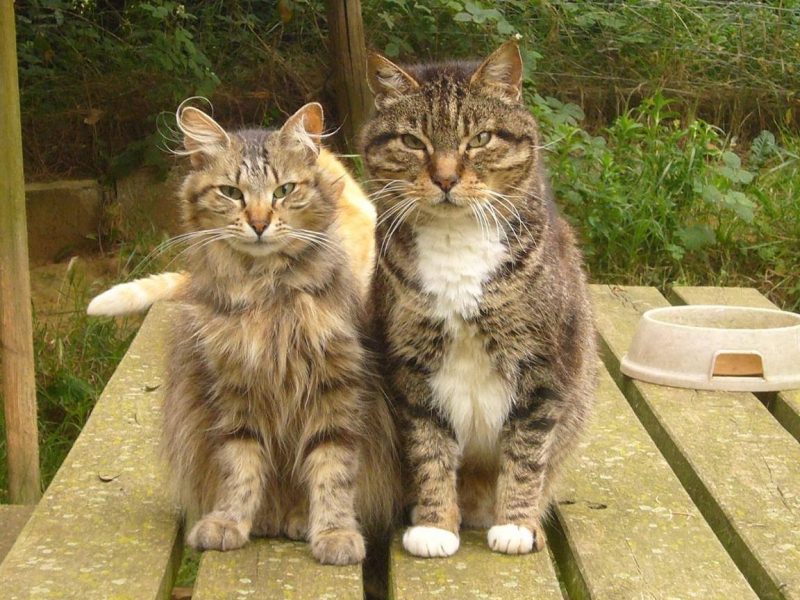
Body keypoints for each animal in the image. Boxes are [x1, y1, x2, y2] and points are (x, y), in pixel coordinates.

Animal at [94, 101, 400, 564]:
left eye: (284, 190)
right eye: (231, 192)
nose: (258, 222)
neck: (268, 297)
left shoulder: (336, 385)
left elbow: (332, 467)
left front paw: (333, 531)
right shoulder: (236, 388)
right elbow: (241, 465)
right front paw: (231, 521)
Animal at [360, 41, 596, 556]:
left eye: (481, 138)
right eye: (414, 142)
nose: (446, 178)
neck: (456, 243)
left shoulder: (543, 366)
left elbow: (526, 455)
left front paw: (516, 525)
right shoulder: (412, 369)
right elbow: (429, 450)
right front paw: (434, 526)